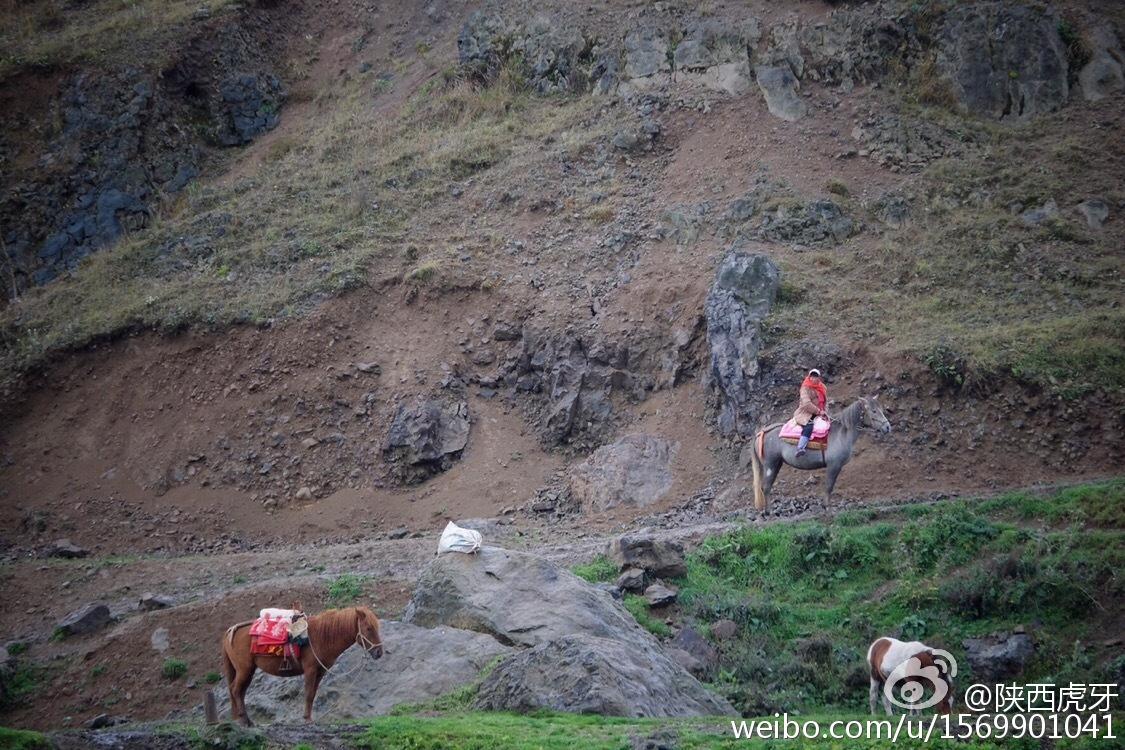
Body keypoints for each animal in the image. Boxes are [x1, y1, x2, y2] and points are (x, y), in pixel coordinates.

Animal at [219, 607, 387, 724]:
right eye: (369, 628)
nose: (379, 652)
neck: (321, 636)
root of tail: (231, 630)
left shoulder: (320, 672)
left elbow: (312, 695)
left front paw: (309, 718)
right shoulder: (310, 670)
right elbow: (308, 694)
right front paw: (306, 719)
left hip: (247, 671)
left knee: (240, 692)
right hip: (244, 669)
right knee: (235, 690)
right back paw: (243, 720)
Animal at [747, 393, 895, 510]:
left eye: (880, 409)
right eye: (874, 411)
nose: (887, 427)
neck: (841, 433)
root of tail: (762, 432)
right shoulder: (834, 466)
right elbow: (829, 486)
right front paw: (827, 507)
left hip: (776, 464)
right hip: (770, 465)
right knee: (765, 487)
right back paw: (768, 511)